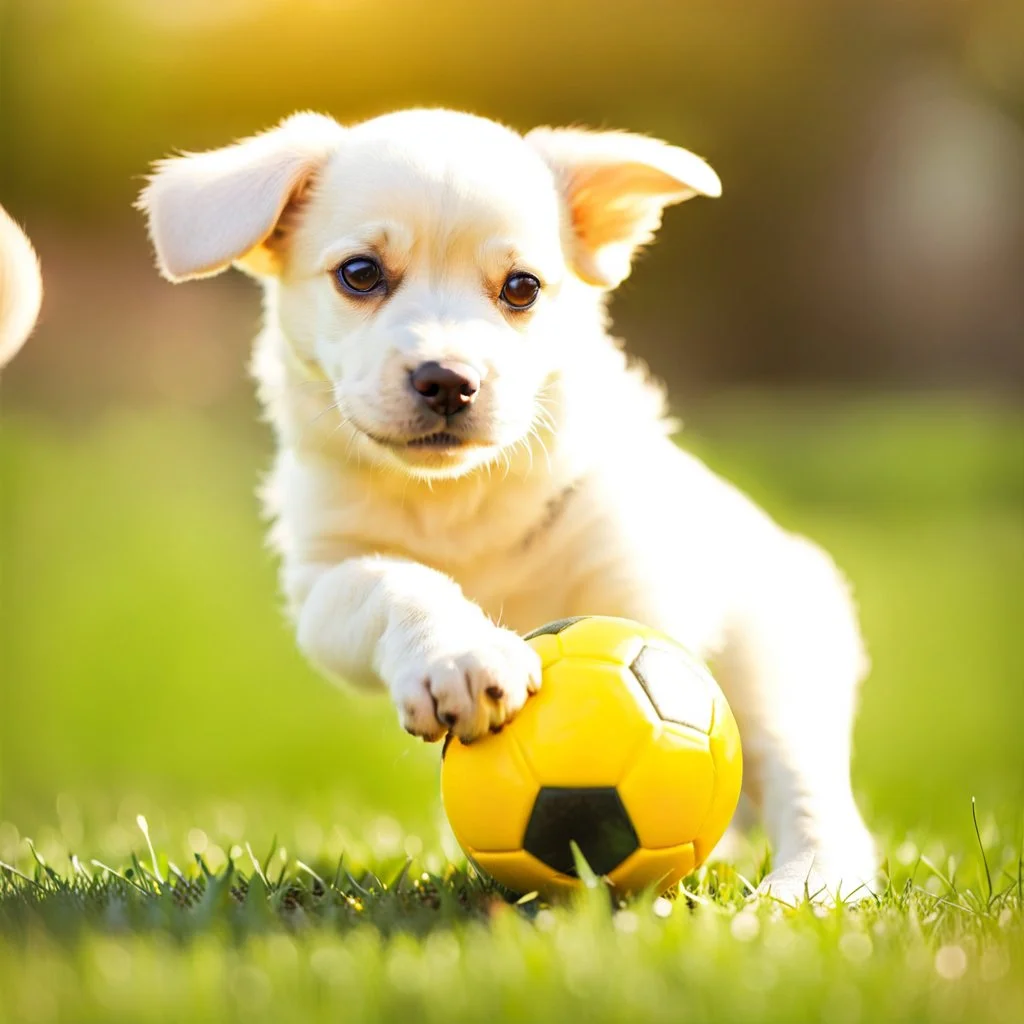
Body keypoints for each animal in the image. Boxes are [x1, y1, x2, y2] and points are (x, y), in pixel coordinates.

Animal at [140, 108, 880, 901]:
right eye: (360, 274)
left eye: (521, 287)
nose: (446, 381)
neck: (458, 499)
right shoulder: (326, 582)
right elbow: (395, 584)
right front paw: (458, 652)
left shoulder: (633, 572)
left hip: (782, 657)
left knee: (802, 781)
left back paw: (812, 882)